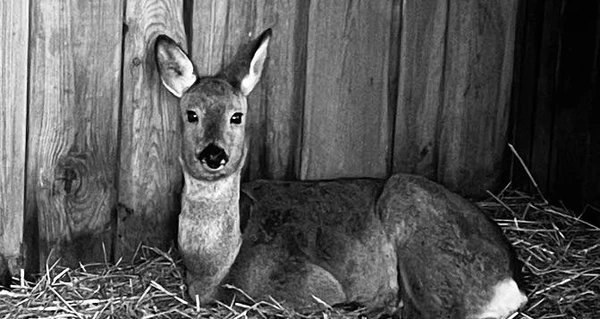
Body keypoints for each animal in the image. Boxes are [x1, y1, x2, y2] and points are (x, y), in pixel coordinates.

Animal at [156, 28, 528, 318]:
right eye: (191, 114)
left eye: (237, 116)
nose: (213, 154)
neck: (215, 268)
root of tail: (512, 283)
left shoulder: (305, 281)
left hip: (417, 220)